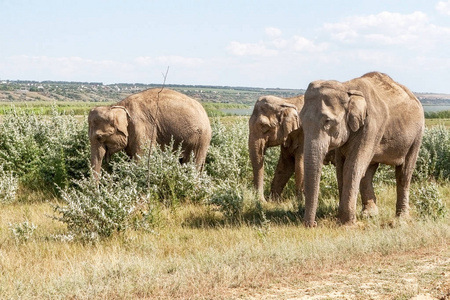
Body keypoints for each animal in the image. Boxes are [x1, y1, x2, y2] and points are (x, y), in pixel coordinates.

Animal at [300, 71, 424, 226]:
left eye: (328, 121)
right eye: (301, 122)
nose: (313, 224)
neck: (346, 87)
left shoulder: (372, 125)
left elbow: (352, 165)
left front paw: (346, 223)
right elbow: (341, 166)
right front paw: (343, 218)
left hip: (417, 135)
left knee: (404, 173)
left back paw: (401, 219)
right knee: (368, 172)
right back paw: (369, 214)